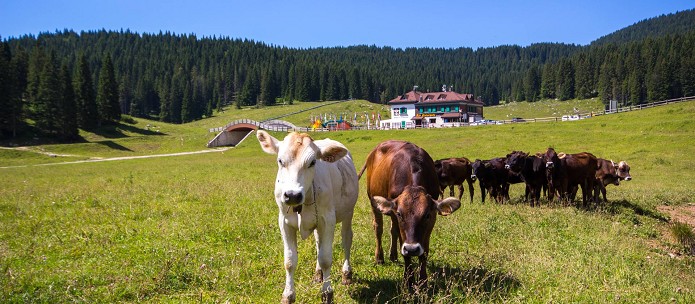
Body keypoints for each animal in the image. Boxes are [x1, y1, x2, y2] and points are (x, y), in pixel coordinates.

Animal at [258, 131, 362, 304]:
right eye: (280, 161)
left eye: (313, 162)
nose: (292, 195)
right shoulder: (284, 222)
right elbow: (289, 261)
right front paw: (288, 295)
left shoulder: (328, 220)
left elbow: (326, 258)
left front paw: (327, 293)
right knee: (319, 243)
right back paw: (318, 274)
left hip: (348, 213)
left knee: (346, 239)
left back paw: (346, 273)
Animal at [358, 140, 462, 290]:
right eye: (400, 213)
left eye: (426, 215)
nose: (412, 249)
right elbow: (405, 251)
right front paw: (409, 281)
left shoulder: (432, 220)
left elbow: (424, 251)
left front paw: (423, 281)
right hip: (374, 203)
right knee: (378, 228)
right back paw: (380, 257)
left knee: (393, 230)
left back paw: (393, 255)